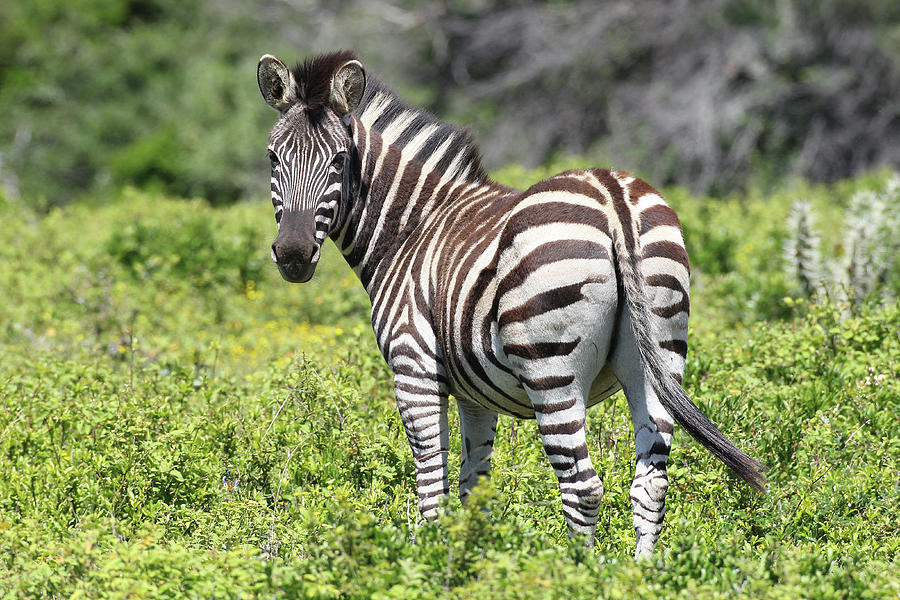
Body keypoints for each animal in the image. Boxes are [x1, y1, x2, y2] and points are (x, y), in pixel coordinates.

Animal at [256, 49, 764, 556]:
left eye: (340, 159)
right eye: (272, 157)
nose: (294, 254)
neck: (409, 229)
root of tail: (611, 196)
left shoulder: (413, 367)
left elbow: (432, 484)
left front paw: (429, 558)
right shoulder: (474, 394)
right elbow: (472, 484)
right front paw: (472, 558)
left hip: (550, 367)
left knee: (582, 486)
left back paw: (579, 569)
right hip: (658, 354)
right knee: (651, 481)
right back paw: (640, 571)